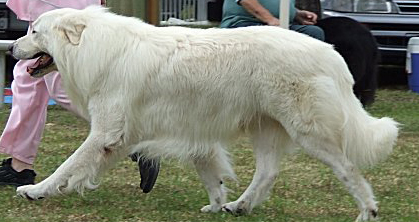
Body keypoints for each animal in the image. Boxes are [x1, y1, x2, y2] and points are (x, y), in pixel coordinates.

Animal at [11, 6, 400, 220]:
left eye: (34, 31)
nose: (12, 46)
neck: (96, 47)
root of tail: (331, 54)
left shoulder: (106, 131)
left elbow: (70, 164)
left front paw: (37, 190)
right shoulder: (190, 132)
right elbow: (211, 171)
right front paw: (216, 204)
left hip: (310, 132)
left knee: (348, 168)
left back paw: (368, 210)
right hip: (266, 128)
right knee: (267, 173)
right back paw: (239, 207)